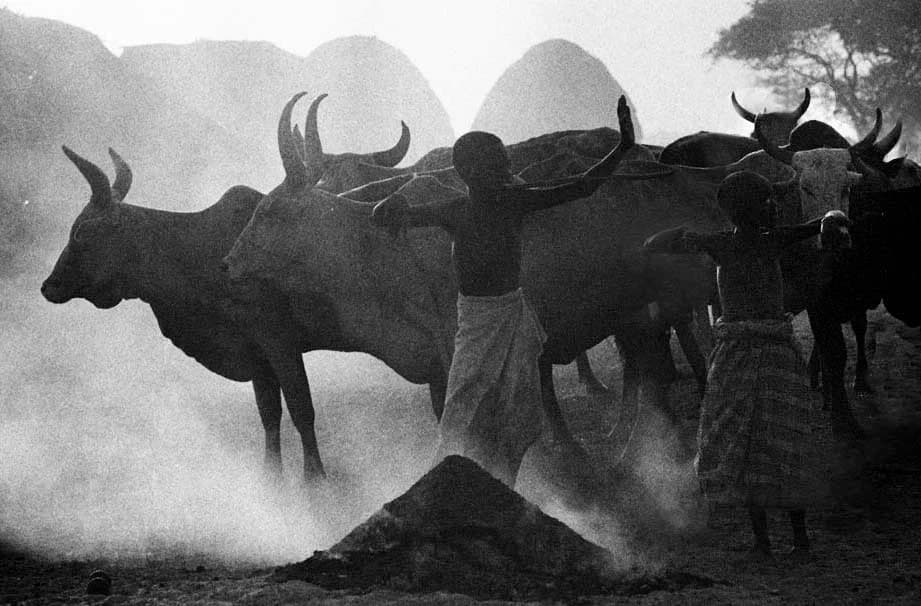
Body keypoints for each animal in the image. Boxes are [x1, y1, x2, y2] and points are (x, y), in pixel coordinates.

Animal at [40, 124, 413, 483]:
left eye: (83, 233)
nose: (49, 286)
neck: (203, 250)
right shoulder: (257, 355)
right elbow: (269, 414)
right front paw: (271, 479)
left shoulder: (279, 341)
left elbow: (301, 409)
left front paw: (315, 481)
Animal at [221, 92, 867, 480]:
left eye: (272, 213)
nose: (228, 267)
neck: (376, 244)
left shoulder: (451, 350)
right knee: (650, 376)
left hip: (649, 314)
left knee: (657, 377)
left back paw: (637, 454)